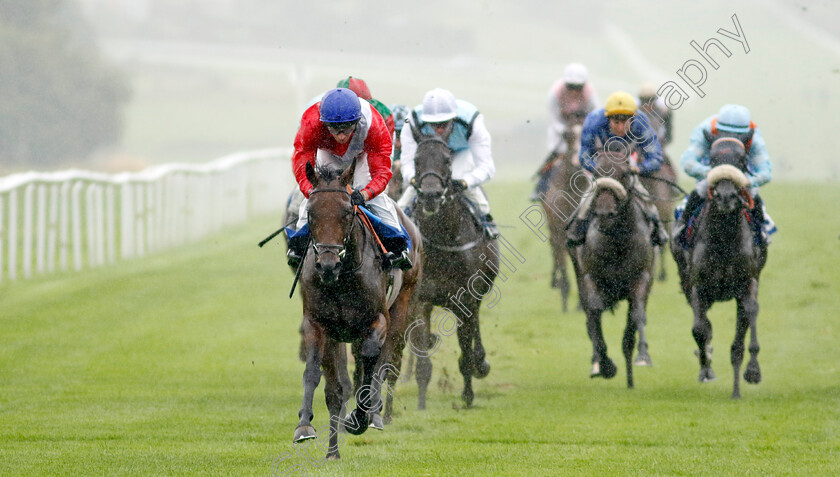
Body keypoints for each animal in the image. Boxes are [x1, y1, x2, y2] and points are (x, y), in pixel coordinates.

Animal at [296, 159, 426, 458]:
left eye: (347, 212)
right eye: (310, 212)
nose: (328, 265)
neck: (343, 276)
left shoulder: (377, 321)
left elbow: (370, 360)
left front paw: (360, 416)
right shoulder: (318, 323)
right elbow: (316, 374)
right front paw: (306, 427)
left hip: (402, 306)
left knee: (386, 360)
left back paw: (374, 413)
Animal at [408, 135, 496, 406]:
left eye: (447, 160)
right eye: (417, 159)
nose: (431, 195)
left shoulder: (465, 299)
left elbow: (466, 347)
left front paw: (467, 395)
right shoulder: (421, 300)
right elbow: (422, 354)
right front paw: (421, 403)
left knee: (475, 328)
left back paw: (481, 362)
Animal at [568, 152, 660, 386]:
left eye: (625, 173)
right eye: (597, 172)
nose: (604, 213)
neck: (617, 240)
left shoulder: (642, 278)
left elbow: (637, 315)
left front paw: (643, 356)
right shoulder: (590, 278)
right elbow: (594, 313)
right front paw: (605, 364)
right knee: (590, 318)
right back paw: (597, 362)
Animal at [668, 138, 768, 398]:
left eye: (742, 160)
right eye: (713, 160)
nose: (725, 196)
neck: (724, 238)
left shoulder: (747, 283)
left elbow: (749, 318)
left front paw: (751, 373)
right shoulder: (698, 287)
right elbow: (700, 330)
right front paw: (706, 369)